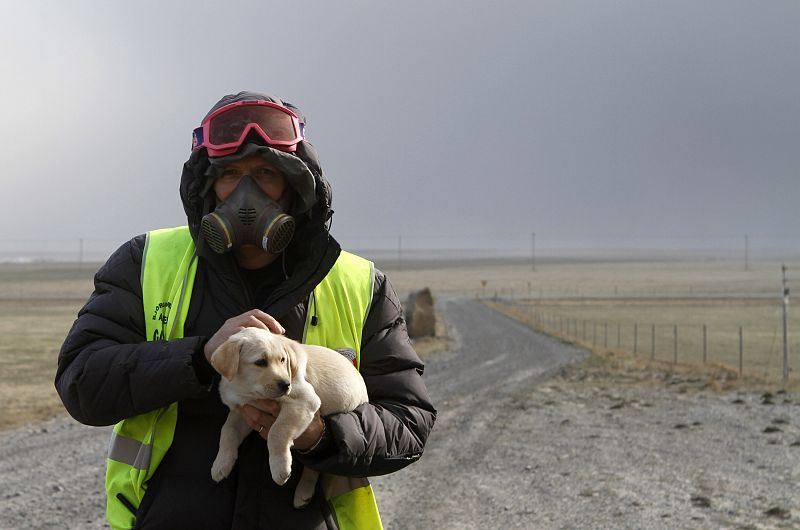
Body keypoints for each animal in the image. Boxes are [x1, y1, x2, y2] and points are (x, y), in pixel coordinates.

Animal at [206, 328, 368, 506]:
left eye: (283, 360)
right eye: (260, 362)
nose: (286, 384)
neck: (248, 392)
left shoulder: (304, 400)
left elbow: (277, 432)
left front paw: (280, 467)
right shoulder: (243, 411)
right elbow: (227, 431)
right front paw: (221, 463)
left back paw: (303, 490)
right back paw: (304, 493)